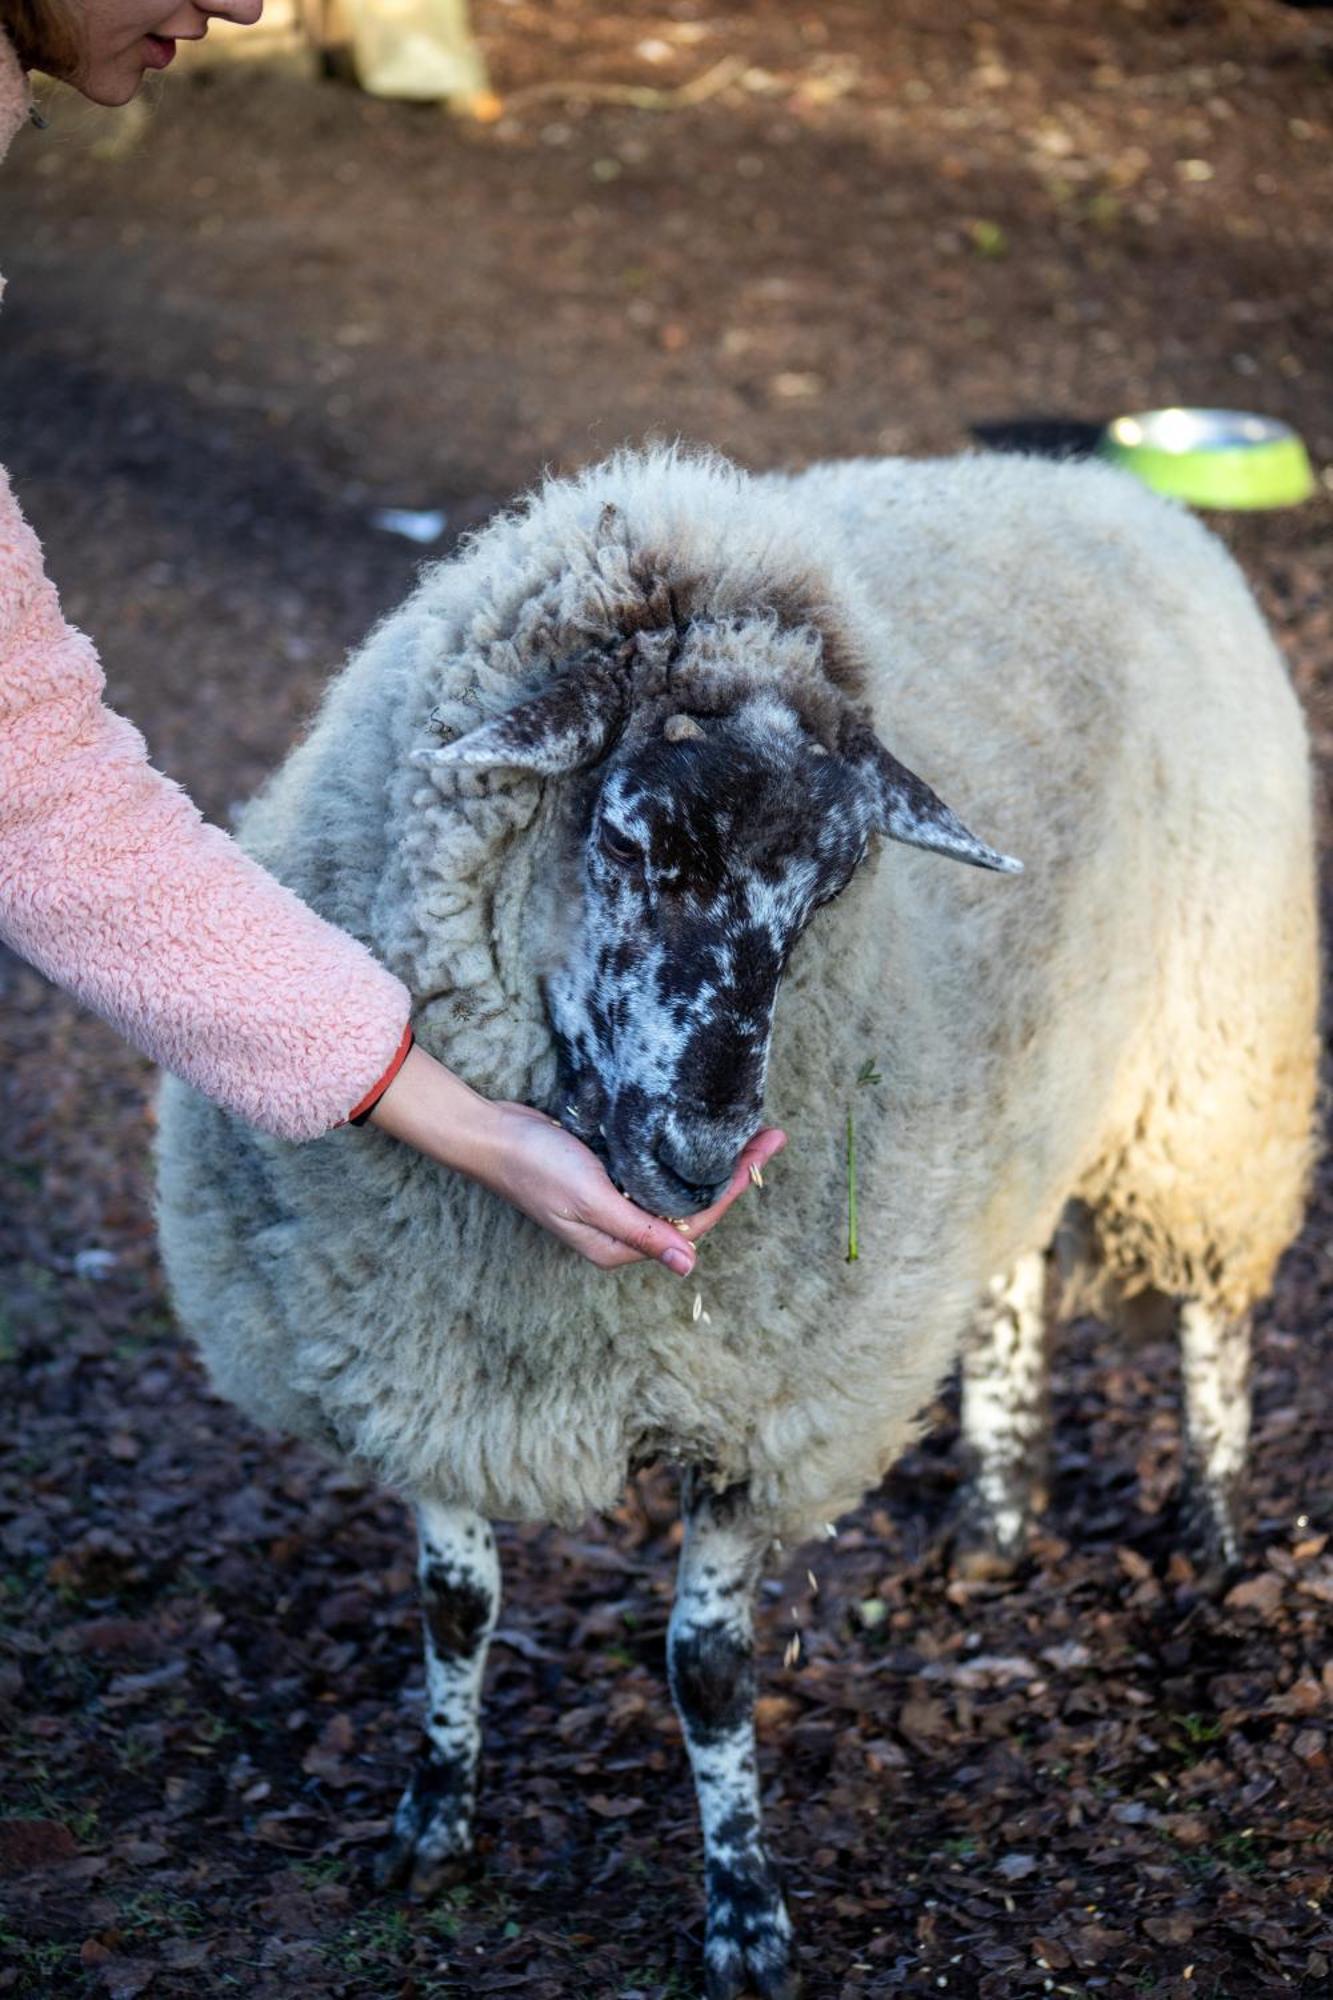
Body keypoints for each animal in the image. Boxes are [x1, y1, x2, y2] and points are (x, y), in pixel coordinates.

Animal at [158, 446, 1320, 1992]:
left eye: (829, 887)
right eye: (634, 837)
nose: (705, 1154)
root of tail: (1098, 485)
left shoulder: (765, 1414)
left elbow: (707, 1671)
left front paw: (744, 1912)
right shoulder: (421, 1358)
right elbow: (455, 1607)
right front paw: (432, 1819)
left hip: (1214, 1071)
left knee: (1213, 1309)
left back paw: (1213, 1527)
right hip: (1030, 1090)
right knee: (1010, 1281)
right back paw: (995, 1516)